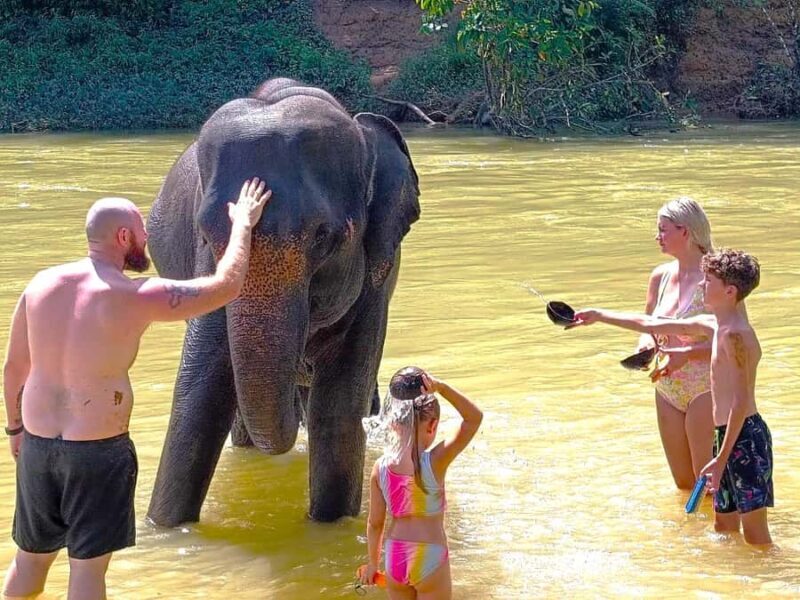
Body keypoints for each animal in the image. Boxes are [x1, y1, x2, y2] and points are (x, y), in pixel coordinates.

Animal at [145, 78, 420, 525]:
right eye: (205, 232)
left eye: (323, 237)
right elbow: (197, 395)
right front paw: (163, 528)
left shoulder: (377, 277)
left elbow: (339, 405)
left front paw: (329, 526)